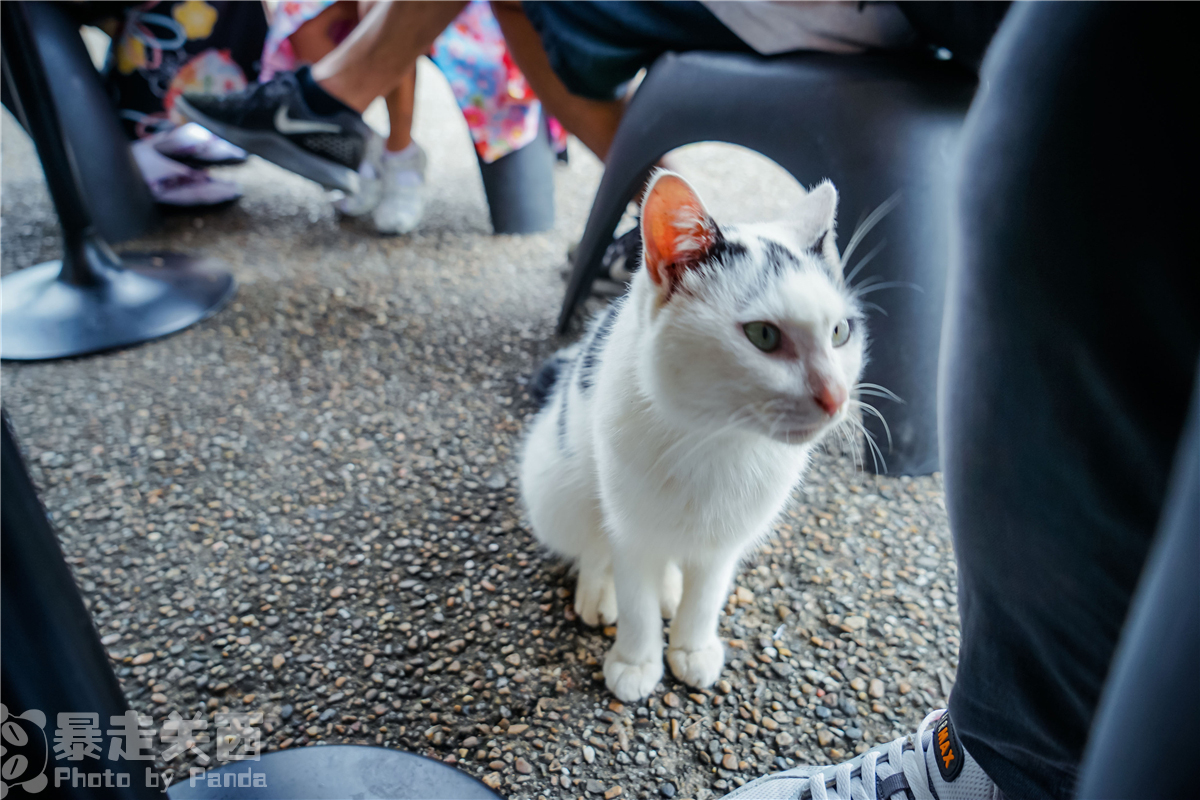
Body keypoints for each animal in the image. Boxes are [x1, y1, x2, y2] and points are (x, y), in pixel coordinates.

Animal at [518, 170, 864, 700]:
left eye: (841, 332)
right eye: (763, 335)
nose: (836, 397)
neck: (718, 441)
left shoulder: (727, 539)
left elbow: (707, 595)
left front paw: (691, 646)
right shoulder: (630, 528)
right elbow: (633, 593)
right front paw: (636, 660)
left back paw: (669, 591)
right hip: (556, 488)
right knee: (592, 543)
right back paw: (598, 591)